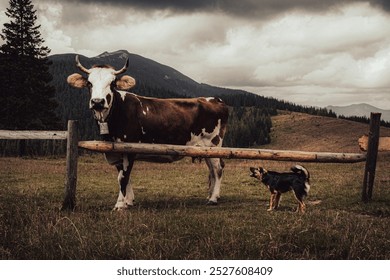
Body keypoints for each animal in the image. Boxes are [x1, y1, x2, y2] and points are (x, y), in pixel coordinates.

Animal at [66, 55, 229, 210]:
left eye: (112, 84)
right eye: (89, 83)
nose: (97, 102)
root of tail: (214, 99)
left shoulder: (129, 148)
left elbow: (123, 177)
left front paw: (120, 204)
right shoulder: (116, 152)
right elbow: (123, 177)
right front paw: (129, 201)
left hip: (213, 143)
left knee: (218, 169)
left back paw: (213, 198)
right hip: (205, 150)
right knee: (212, 170)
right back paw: (211, 195)